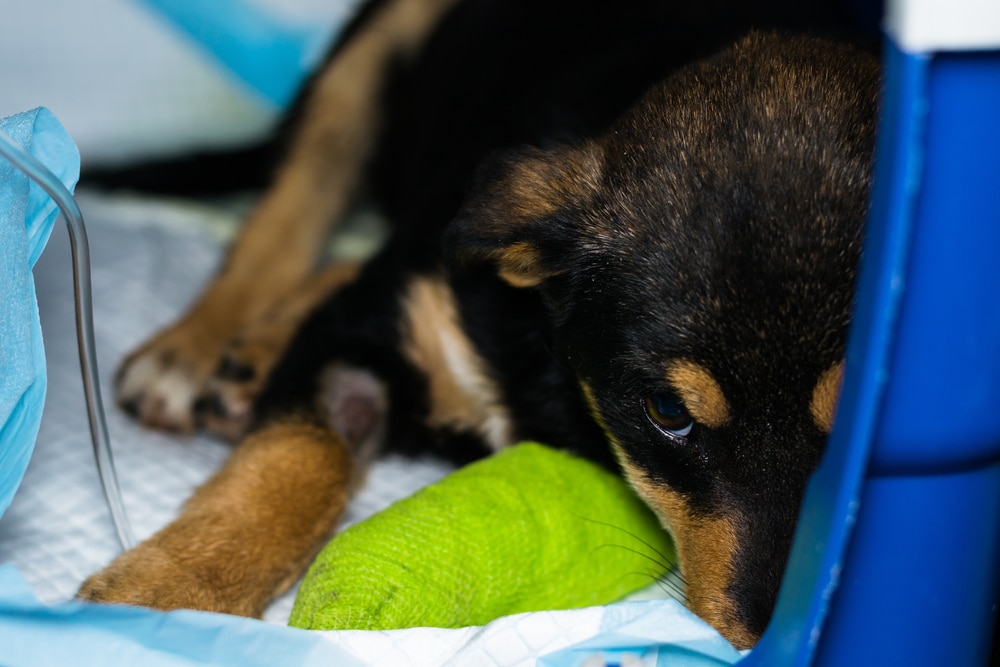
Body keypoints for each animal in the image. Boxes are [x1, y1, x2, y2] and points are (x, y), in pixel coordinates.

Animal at [82, 0, 880, 648]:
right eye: (667, 411)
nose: (787, 631)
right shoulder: (373, 330)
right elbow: (294, 460)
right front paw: (160, 594)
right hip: (370, 57)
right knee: (286, 214)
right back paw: (193, 348)